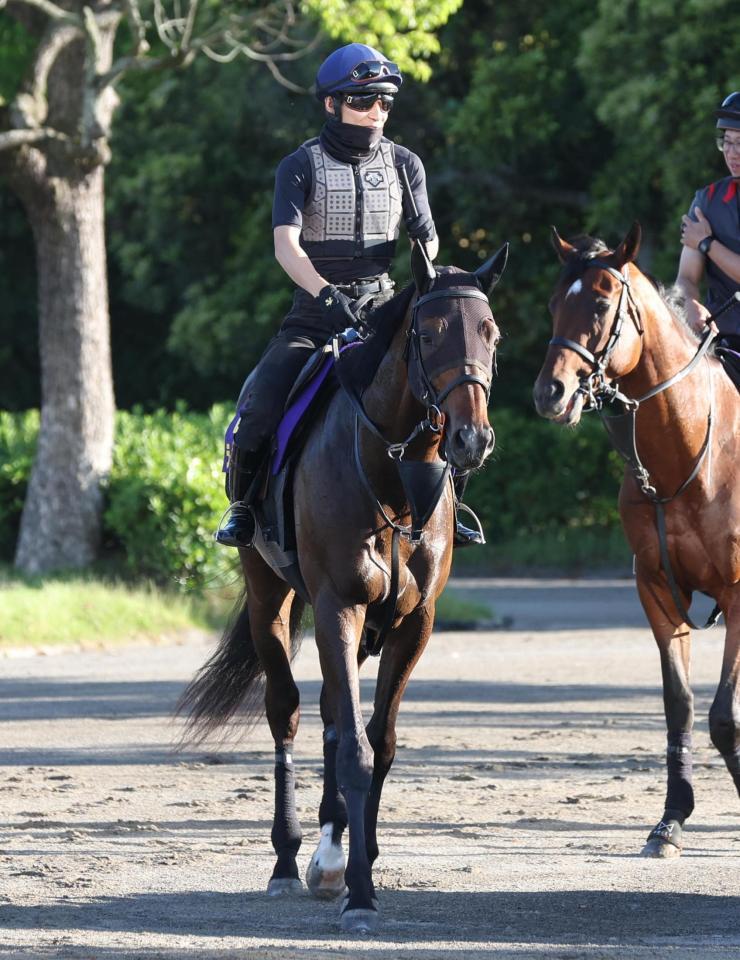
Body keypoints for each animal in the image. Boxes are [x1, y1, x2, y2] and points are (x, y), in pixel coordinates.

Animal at [179, 239, 508, 931]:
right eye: (429, 332)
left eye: (490, 332)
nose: (470, 439)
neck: (394, 478)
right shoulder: (338, 606)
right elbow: (353, 748)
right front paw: (358, 891)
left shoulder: (413, 624)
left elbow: (375, 742)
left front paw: (360, 859)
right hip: (269, 598)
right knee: (288, 710)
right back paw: (288, 859)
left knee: (333, 712)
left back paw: (328, 850)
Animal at [533, 222, 739, 858]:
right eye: (554, 303)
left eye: (601, 304)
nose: (551, 392)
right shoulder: (659, 593)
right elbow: (681, 708)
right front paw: (671, 821)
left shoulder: (739, 596)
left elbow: (724, 715)